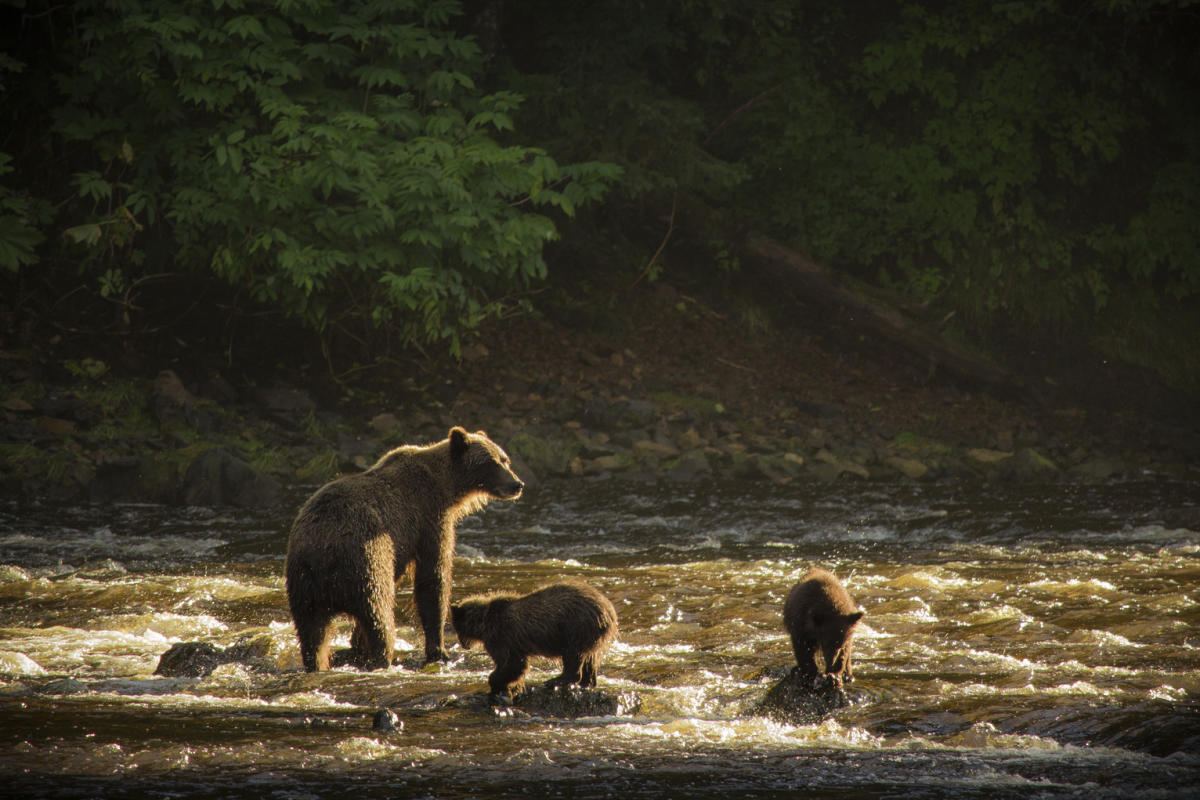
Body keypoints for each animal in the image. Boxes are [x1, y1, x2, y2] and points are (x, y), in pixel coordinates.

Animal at [285, 426, 523, 672]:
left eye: (505, 459)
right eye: (491, 462)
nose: (517, 484)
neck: (446, 487)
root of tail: (323, 554)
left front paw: (356, 645)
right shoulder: (429, 518)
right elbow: (433, 578)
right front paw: (439, 650)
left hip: (303, 586)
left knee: (312, 633)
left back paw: (318, 663)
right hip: (366, 562)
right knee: (378, 613)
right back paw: (382, 657)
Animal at [450, 582, 619, 699]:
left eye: (457, 628)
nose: (464, 645)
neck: (484, 624)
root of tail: (609, 609)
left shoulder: (501, 637)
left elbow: (512, 664)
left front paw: (496, 683)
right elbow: (514, 665)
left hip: (575, 626)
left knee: (572, 655)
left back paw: (554, 680)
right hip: (592, 634)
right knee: (590, 657)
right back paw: (587, 682)